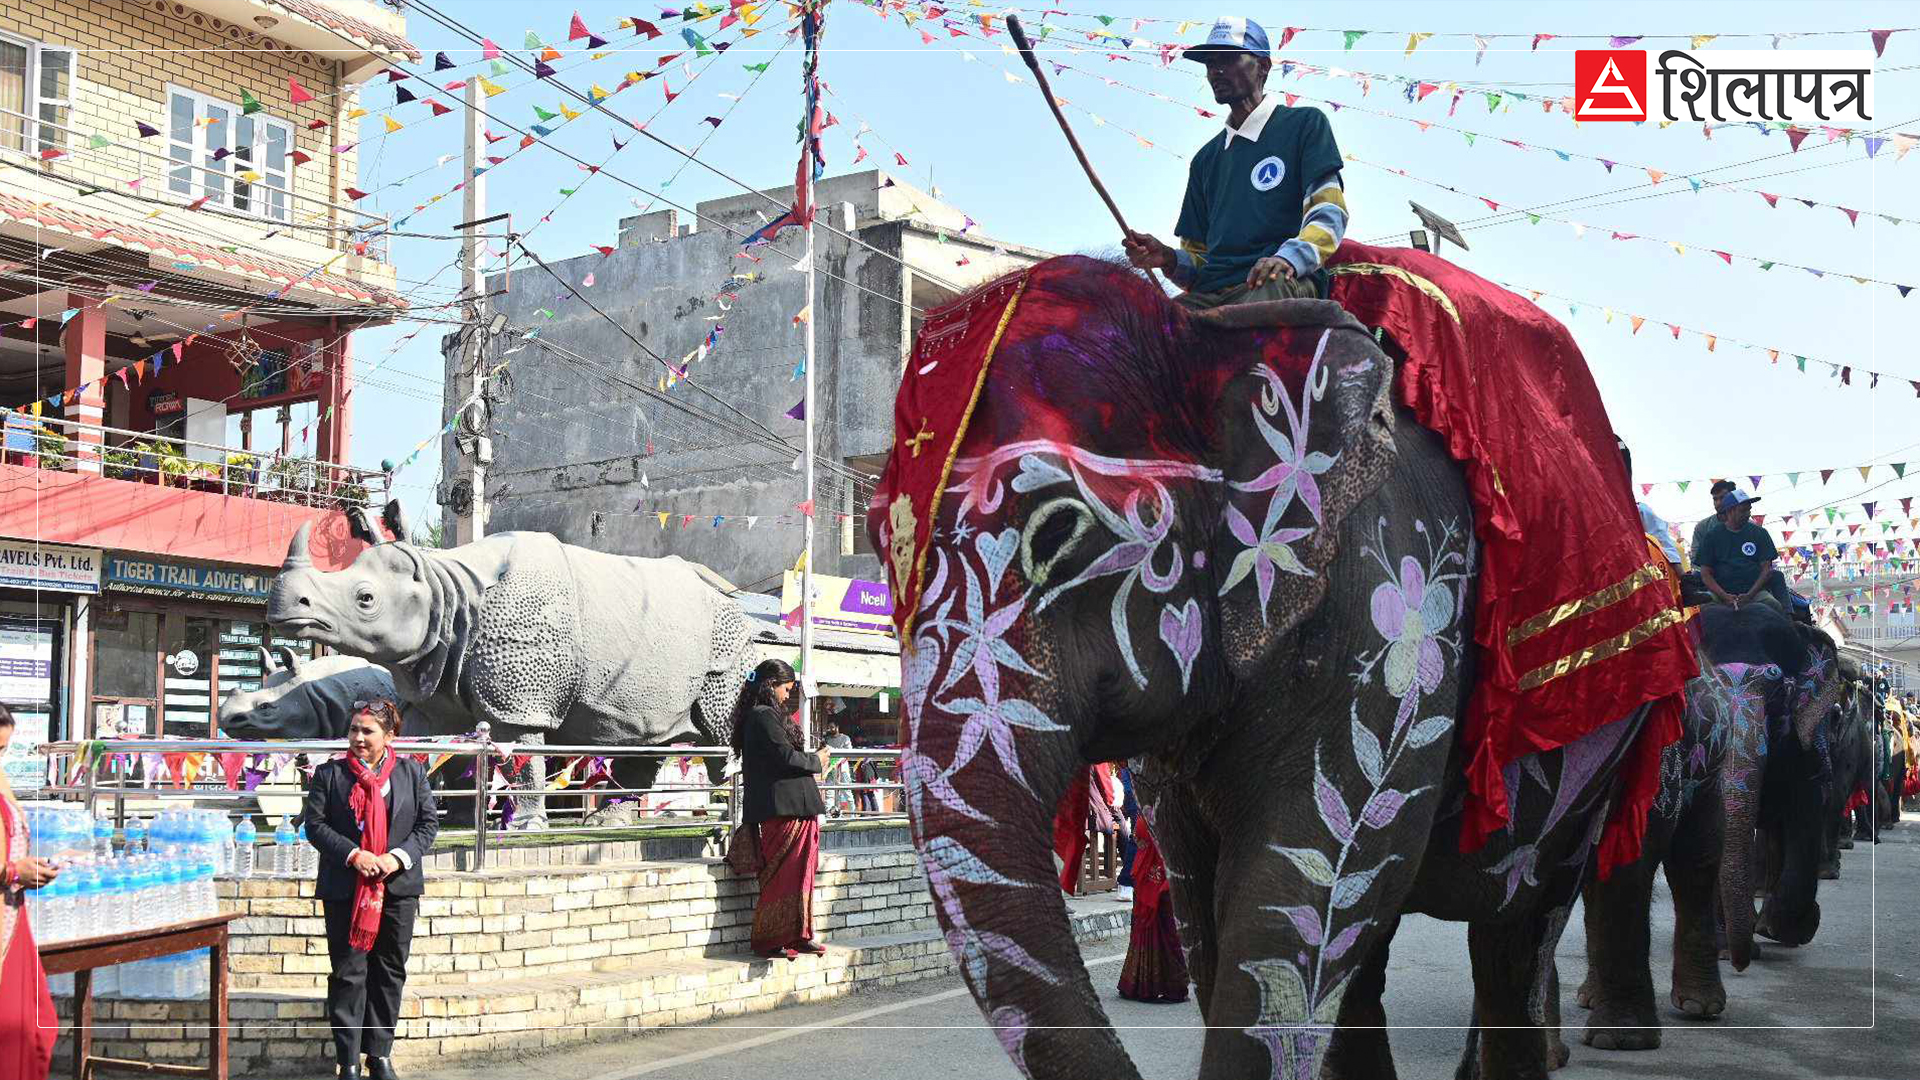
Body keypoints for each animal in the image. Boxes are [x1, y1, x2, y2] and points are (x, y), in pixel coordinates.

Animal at [871, 253, 1697, 1076]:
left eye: (1059, 529)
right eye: (885, 546)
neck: (1216, 329)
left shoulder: (1403, 625)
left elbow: (1294, 887)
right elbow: (1208, 899)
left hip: (1594, 766)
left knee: (1517, 928)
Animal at [1574, 595, 1843, 1045]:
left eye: (1780, 695)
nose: (1741, 964)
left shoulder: (1804, 736)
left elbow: (1806, 811)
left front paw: (1783, 928)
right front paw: (1732, 944)